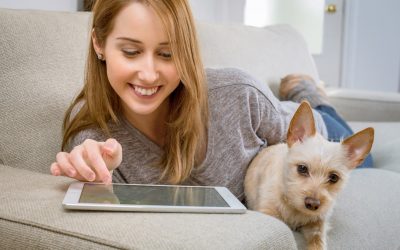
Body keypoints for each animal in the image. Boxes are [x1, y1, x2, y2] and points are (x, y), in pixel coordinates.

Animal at [244, 101, 376, 250]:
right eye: (302, 168)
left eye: (334, 177)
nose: (312, 204)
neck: (295, 208)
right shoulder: (268, 211)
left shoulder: (318, 225)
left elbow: (317, 242)